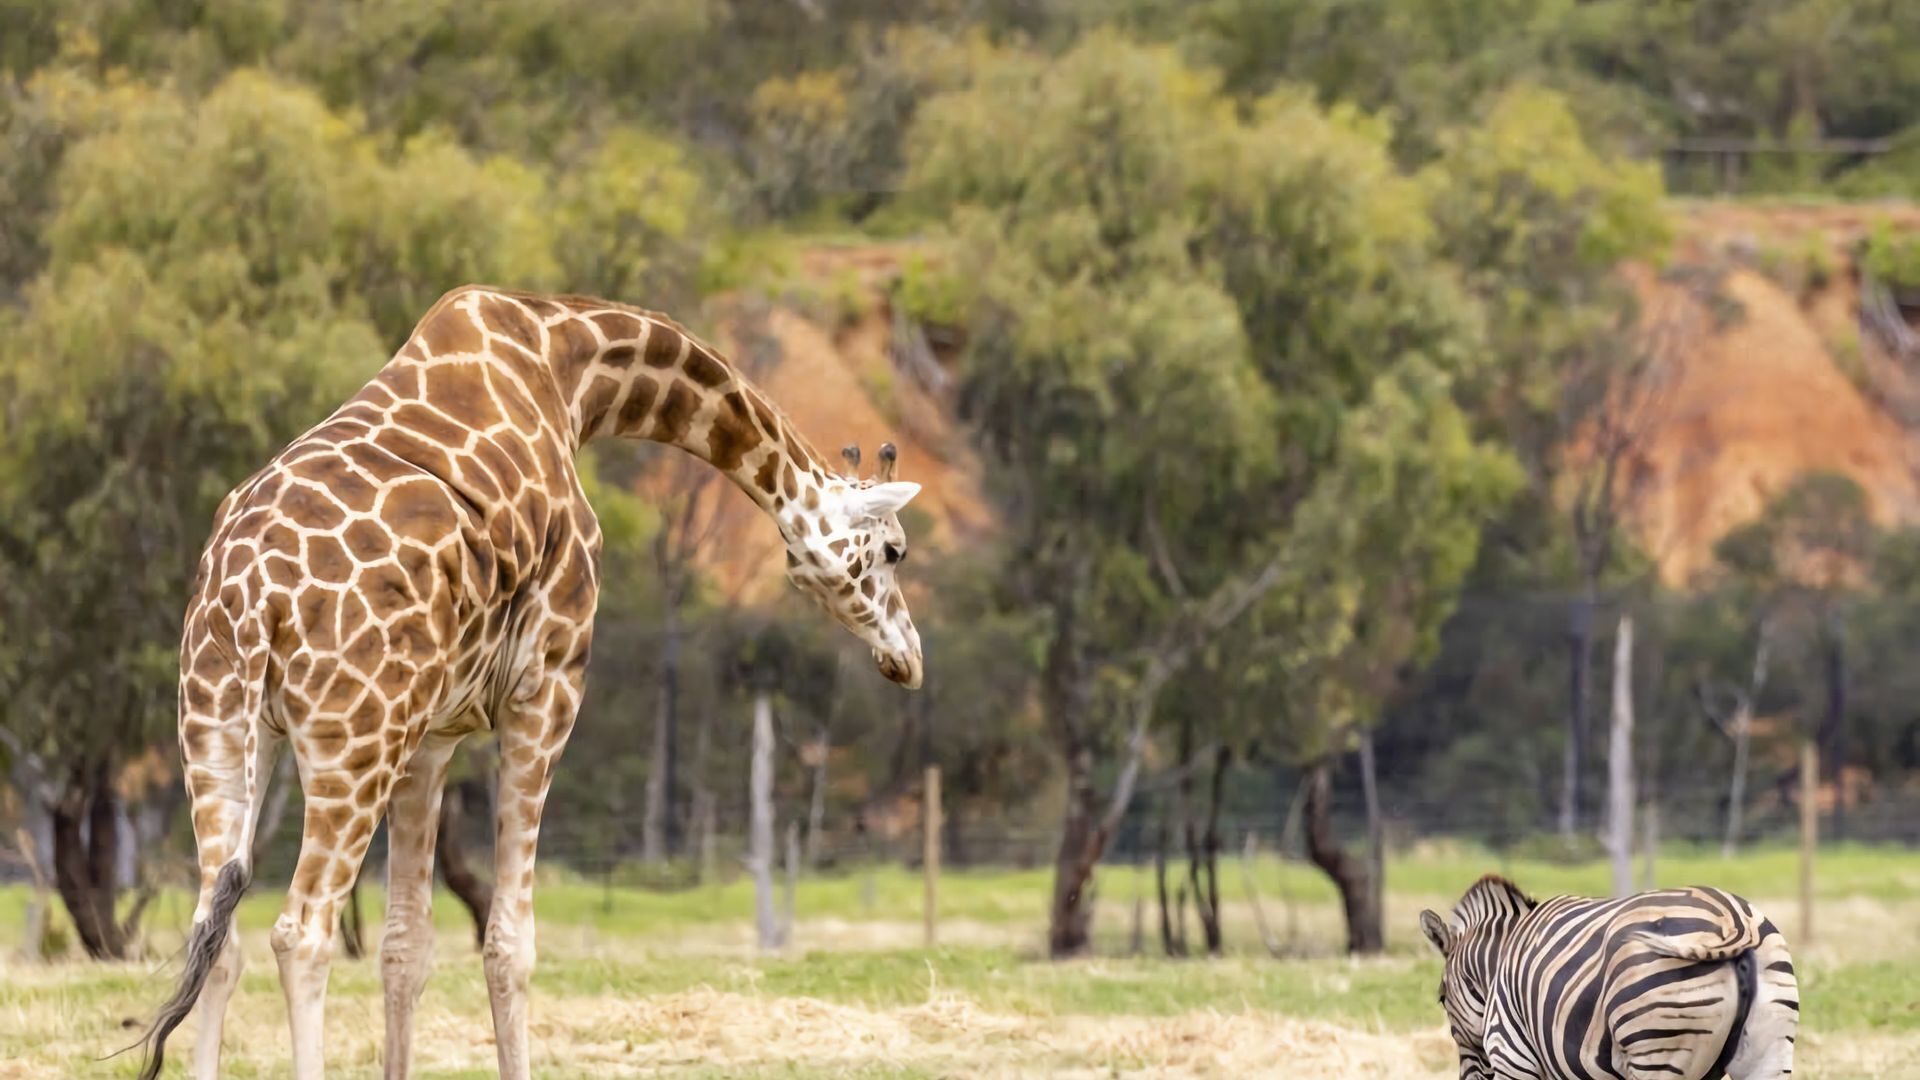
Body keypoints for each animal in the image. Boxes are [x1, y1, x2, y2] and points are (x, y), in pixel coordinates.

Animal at [1419, 875, 1799, 1080]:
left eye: (1441, 998)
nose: (1465, 1077)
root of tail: (1730, 919)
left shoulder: (1512, 1055)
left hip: (1655, 1049)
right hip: (1771, 1049)